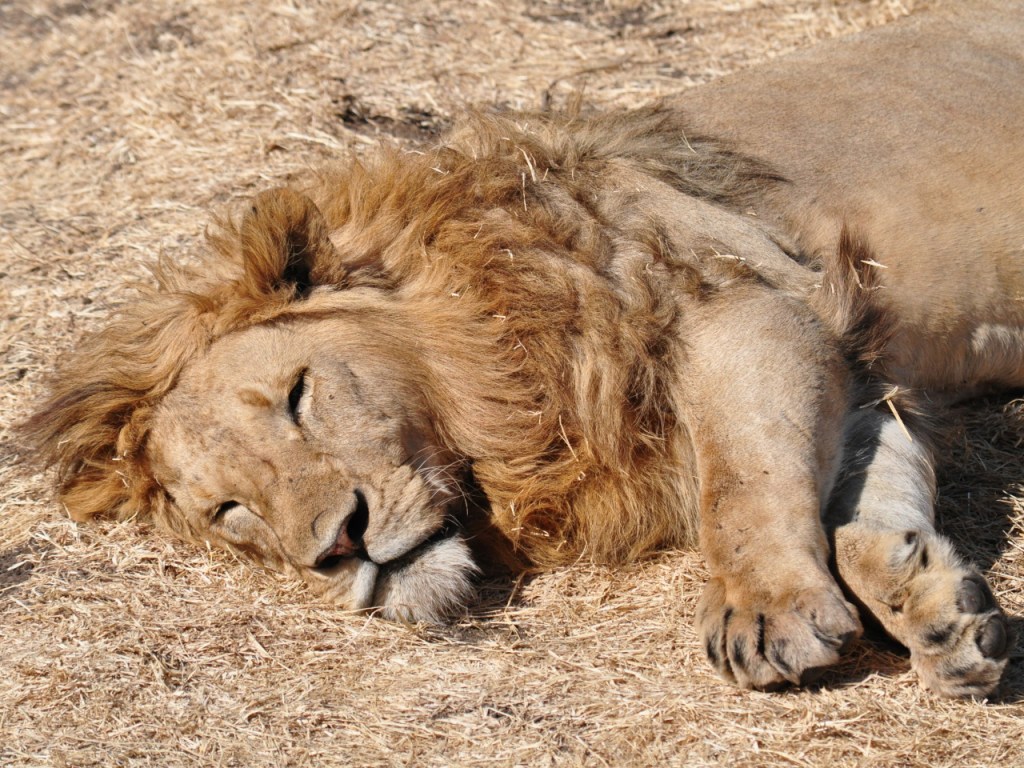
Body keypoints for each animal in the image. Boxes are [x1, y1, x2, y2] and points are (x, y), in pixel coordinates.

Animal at [23, 1, 1024, 698]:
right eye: (231, 510)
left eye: (299, 395)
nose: (340, 545)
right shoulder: (863, 368)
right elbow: (861, 505)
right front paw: (938, 609)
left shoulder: (743, 301)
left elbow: (739, 482)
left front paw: (765, 606)